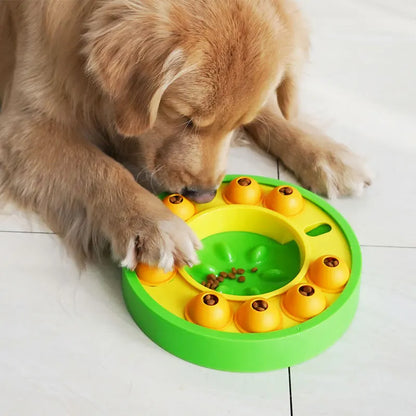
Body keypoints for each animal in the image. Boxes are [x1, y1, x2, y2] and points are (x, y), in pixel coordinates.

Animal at [0, 0, 370, 270]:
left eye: (236, 124)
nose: (204, 195)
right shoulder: (24, 127)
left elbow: (273, 113)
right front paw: (151, 223)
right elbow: (100, 167)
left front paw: (325, 153)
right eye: (184, 118)